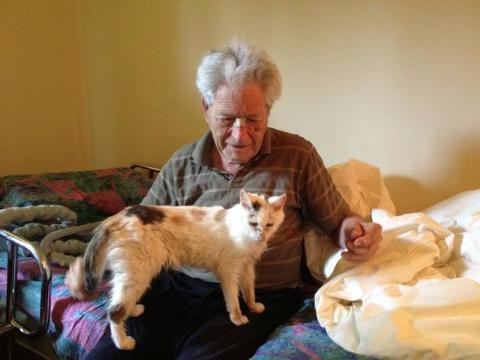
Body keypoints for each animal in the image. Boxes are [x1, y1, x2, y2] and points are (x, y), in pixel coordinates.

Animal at [65, 190, 286, 350]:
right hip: (138, 273)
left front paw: (253, 306)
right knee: (113, 311)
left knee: (118, 302)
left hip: (133, 274)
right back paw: (124, 343)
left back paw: (133, 310)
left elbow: (249, 290)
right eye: (253, 223)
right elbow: (233, 299)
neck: (237, 229)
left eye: (269, 225)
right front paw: (237, 318)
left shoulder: (247, 267)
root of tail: (116, 217)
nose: (261, 236)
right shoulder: (228, 271)